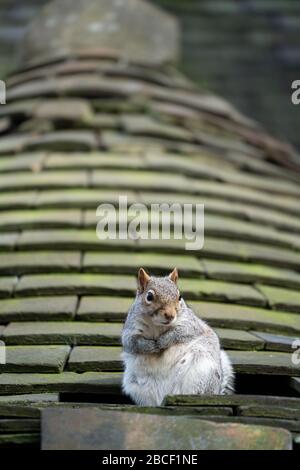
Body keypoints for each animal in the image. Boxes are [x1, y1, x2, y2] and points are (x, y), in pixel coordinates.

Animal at [122, 268, 234, 408]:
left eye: (179, 297)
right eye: (149, 297)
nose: (170, 315)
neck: (158, 327)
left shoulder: (190, 324)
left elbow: (180, 333)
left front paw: (162, 341)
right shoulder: (131, 329)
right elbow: (132, 343)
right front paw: (150, 346)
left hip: (201, 371)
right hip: (135, 385)